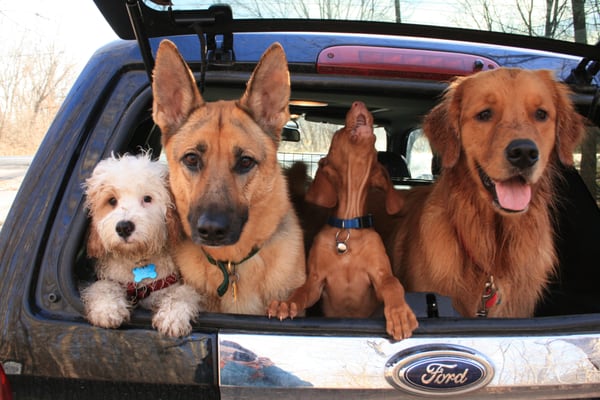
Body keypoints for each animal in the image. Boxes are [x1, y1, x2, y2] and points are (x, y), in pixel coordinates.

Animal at [81, 153, 205, 338]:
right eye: (112, 200)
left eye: (147, 198)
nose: (124, 227)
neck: (138, 261)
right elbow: (103, 286)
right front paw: (107, 309)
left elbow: (183, 293)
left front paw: (173, 316)